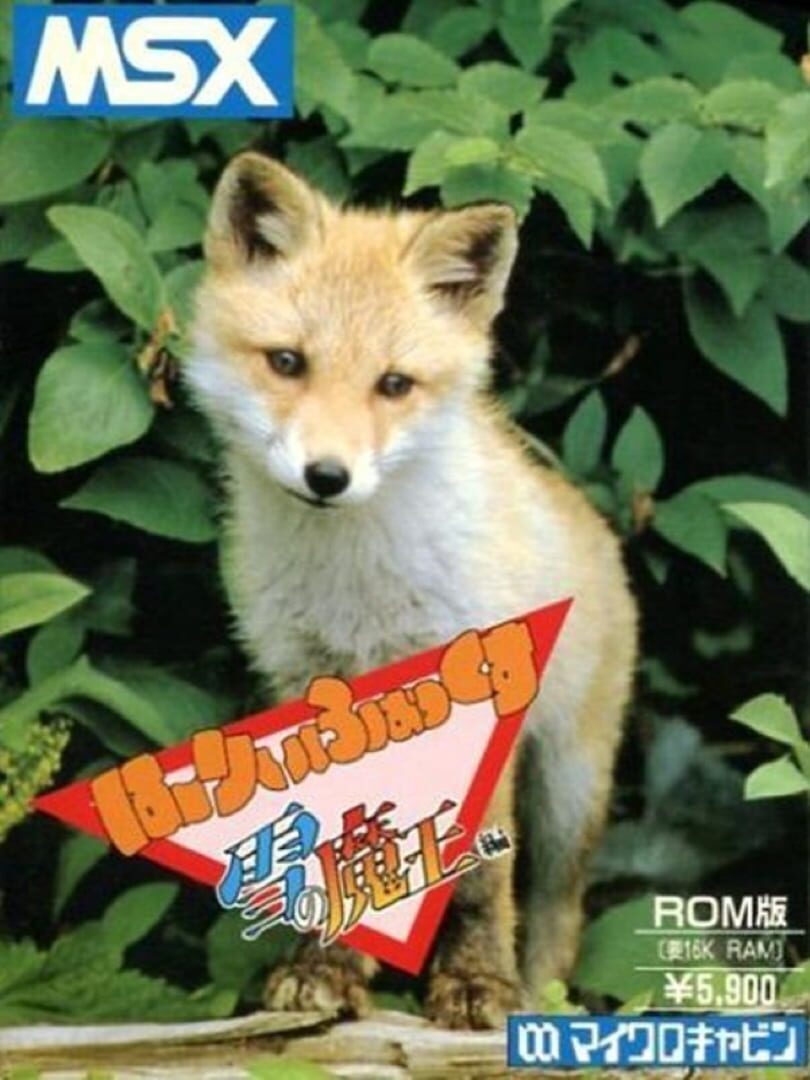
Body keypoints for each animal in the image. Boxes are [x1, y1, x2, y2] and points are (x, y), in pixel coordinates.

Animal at [185, 151, 638, 1030]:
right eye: (287, 362)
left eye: (393, 384)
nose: (328, 476)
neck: (358, 584)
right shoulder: (314, 698)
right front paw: (324, 972)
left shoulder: (484, 696)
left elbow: (481, 878)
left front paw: (477, 986)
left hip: (570, 789)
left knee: (557, 912)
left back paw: (539, 999)